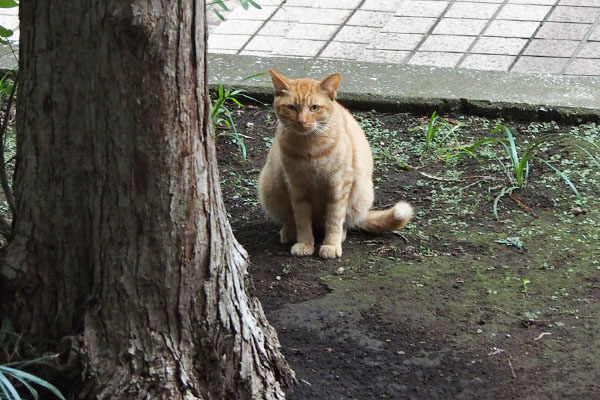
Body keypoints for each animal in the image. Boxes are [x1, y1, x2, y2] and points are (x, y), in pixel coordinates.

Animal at [258, 69, 412, 260]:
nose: (302, 121)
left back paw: (340, 234)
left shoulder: (338, 185)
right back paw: (289, 232)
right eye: (292, 107)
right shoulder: (296, 186)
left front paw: (331, 245)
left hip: (360, 194)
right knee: (290, 219)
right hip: (271, 186)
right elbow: (302, 219)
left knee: (345, 222)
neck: (309, 149)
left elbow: (334, 219)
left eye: (314, 108)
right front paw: (304, 243)